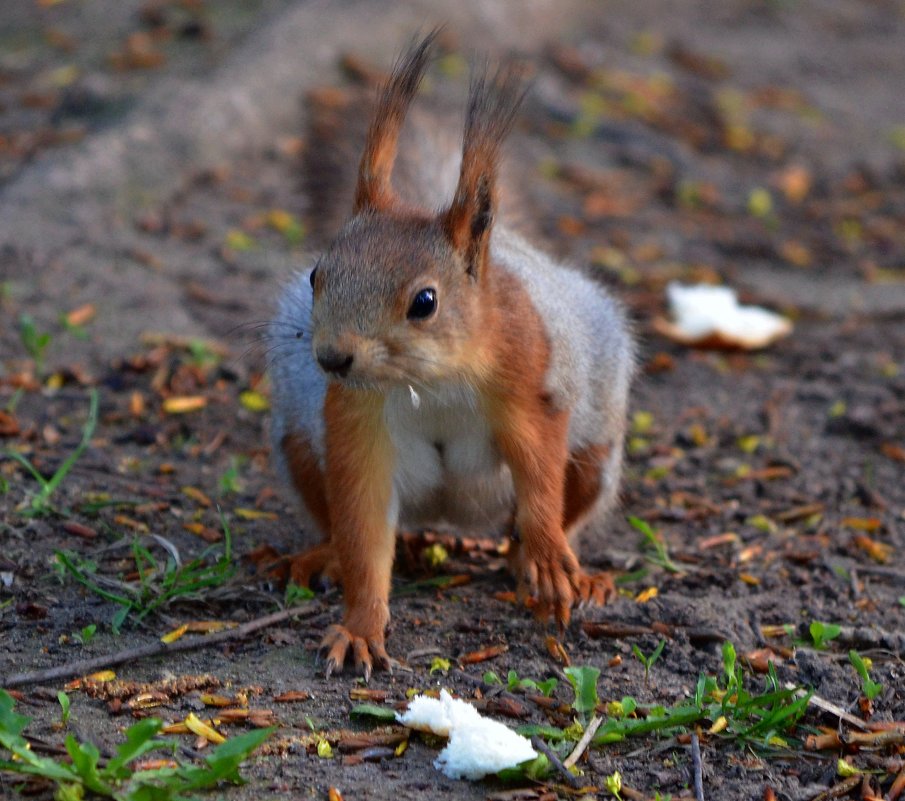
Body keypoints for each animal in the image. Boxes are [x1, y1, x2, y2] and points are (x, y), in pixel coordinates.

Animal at [268, 31, 636, 676]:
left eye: (425, 301)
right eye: (316, 275)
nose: (333, 359)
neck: (429, 379)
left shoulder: (528, 383)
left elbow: (539, 474)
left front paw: (547, 553)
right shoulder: (356, 422)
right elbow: (362, 526)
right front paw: (361, 625)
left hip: (595, 455)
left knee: (554, 509)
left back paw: (548, 564)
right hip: (300, 449)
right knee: (341, 522)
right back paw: (327, 555)